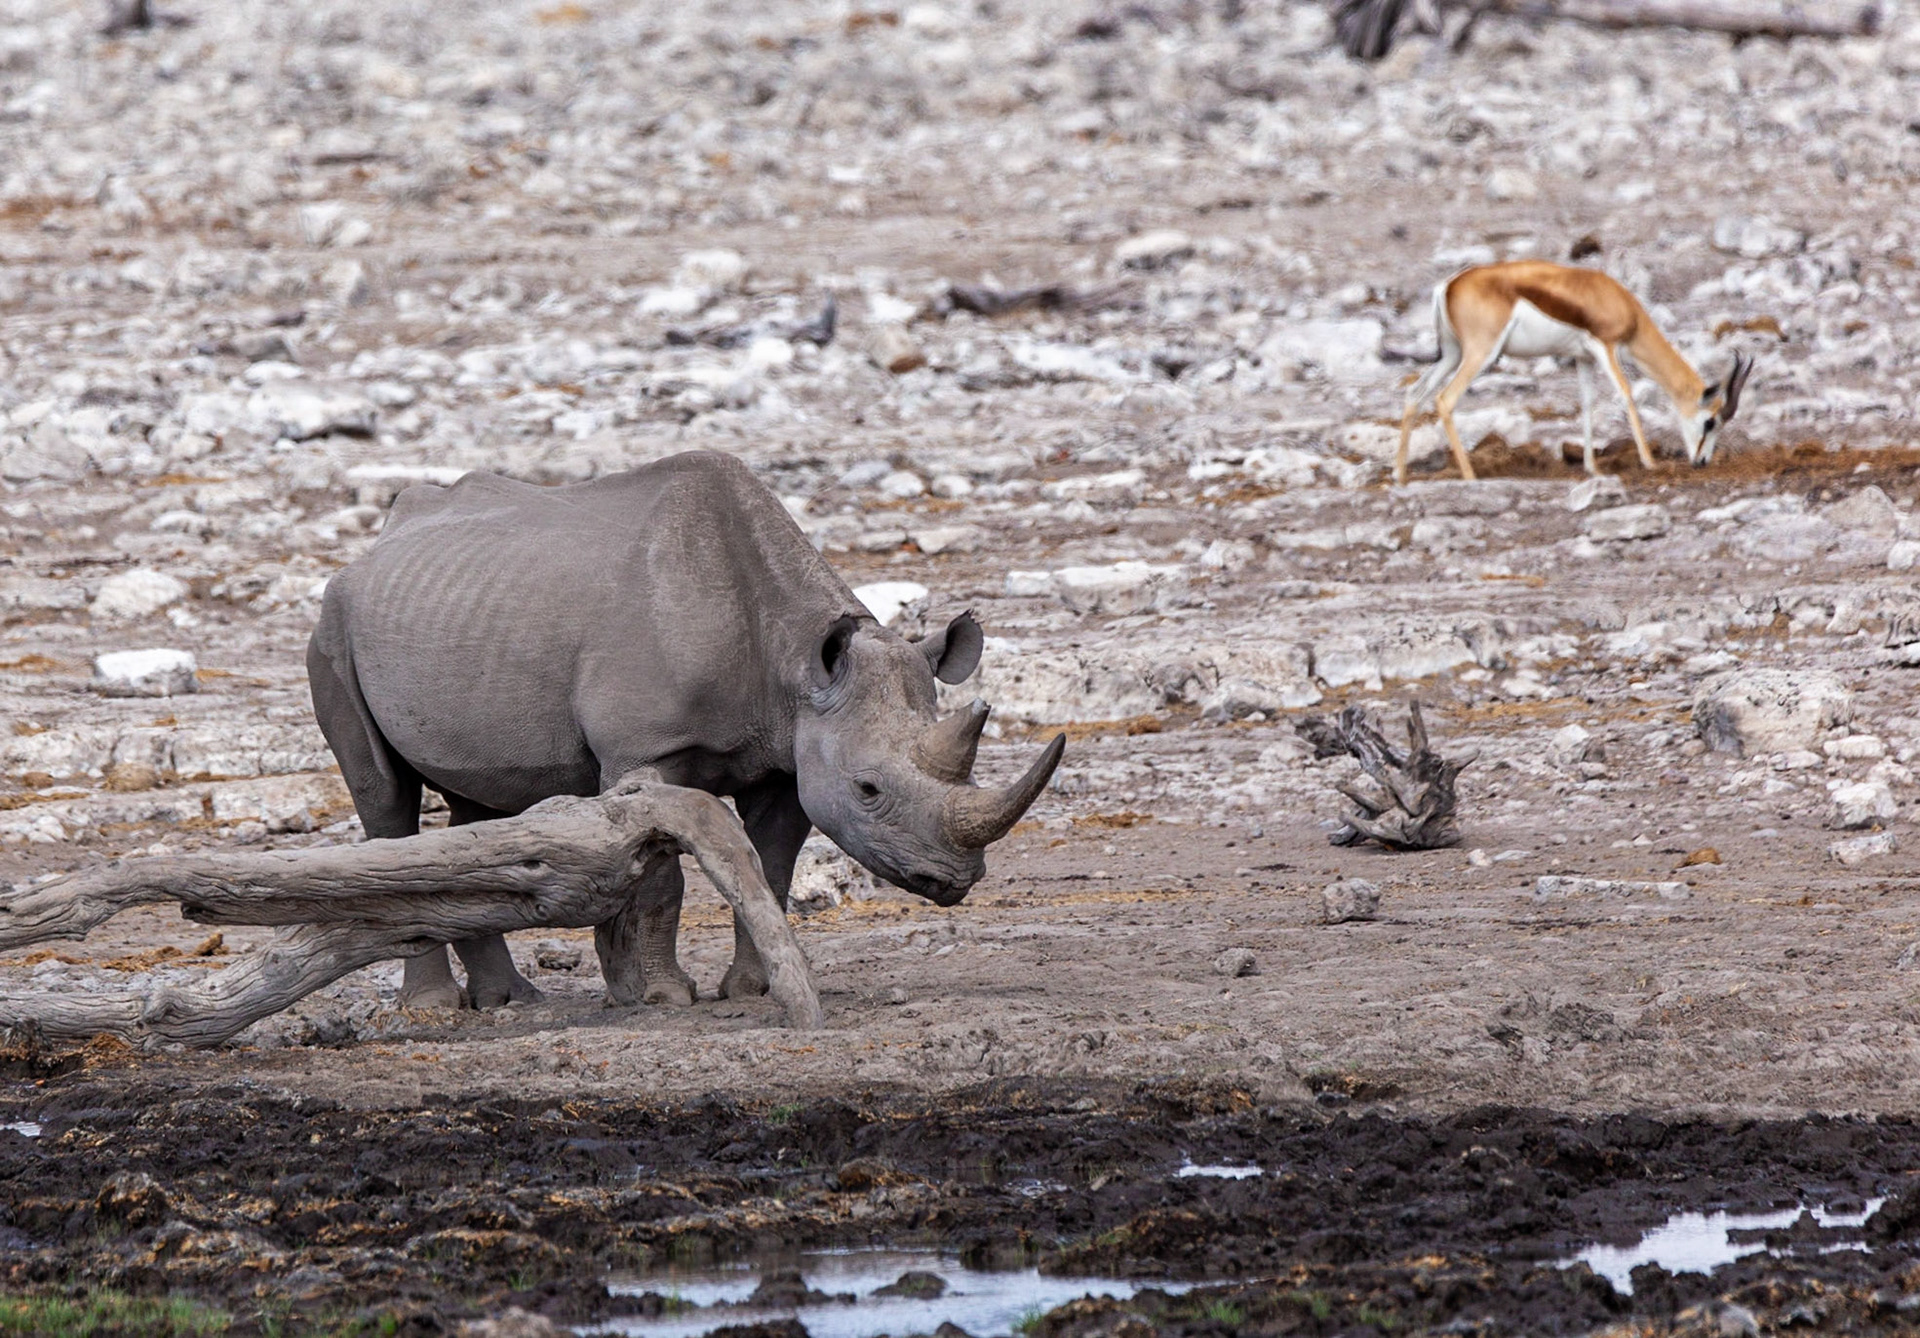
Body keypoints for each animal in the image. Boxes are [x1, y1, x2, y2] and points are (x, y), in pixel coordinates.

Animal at [306, 450, 1064, 1010]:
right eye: (869, 789)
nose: (954, 880)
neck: (795, 661)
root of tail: (374, 546)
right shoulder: (646, 750)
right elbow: (662, 876)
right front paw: (666, 996)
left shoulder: (789, 753)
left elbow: (770, 865)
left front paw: (749, 990)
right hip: (333, 626)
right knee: (384, 795)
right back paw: (435, 1008)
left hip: (461, 611)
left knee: (480, 804)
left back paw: (511, 1002)